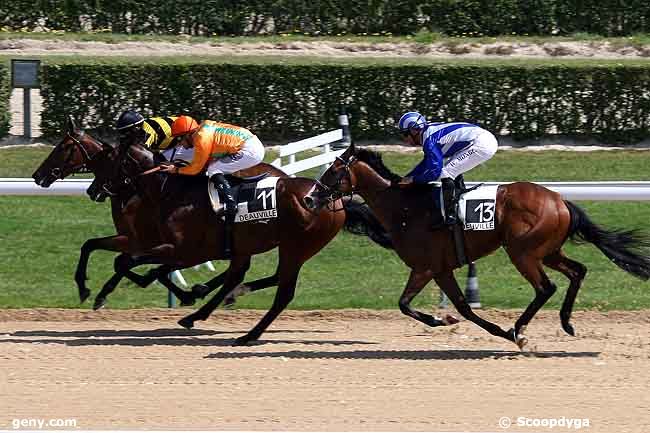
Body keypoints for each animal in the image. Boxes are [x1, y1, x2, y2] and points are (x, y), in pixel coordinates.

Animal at [304, 143, 648, 350]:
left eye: (333, 170)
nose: (309, 198)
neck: (404, 207)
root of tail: (560, 200)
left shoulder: (425, 266)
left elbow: (405, 304)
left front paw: (439, 320)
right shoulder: (441, 269)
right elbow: (462, 308)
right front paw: (460, 322)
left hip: (522, 252)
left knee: (546, 287)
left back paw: (520, 329)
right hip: (548, 251)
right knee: (578, 271)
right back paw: (566, 323)